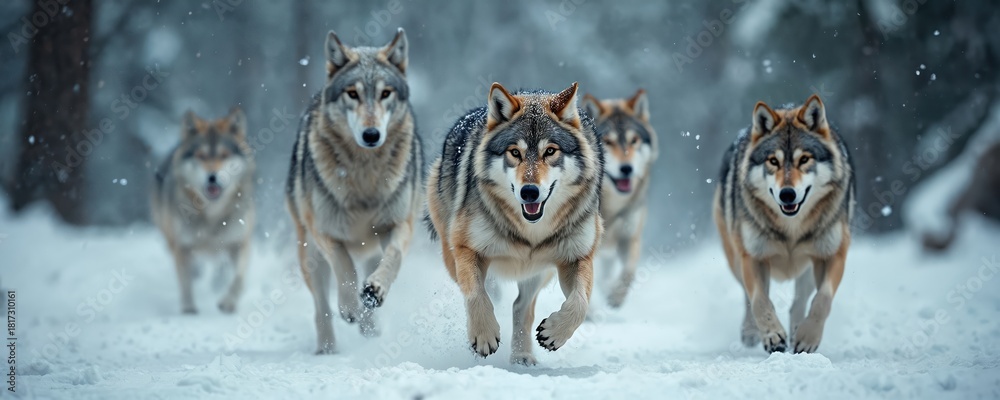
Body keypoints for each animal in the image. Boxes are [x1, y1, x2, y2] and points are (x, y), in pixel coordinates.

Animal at [152, 108, 255, 314]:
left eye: (224, 155)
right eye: (201, 156)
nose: (212, 177)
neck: (212, 214)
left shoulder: (240, 242)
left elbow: (239, 279)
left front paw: (228, 303)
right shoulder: (182, 246)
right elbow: (185, 282)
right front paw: (188, 309)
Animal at [286, 28, 422, 354]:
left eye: (385, 93)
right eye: (353, 93)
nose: (371, 135)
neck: (364, 174)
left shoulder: (399, 224)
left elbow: (393, 256)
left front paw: (374, 290)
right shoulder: (324, 230)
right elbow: (344, 265)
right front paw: (348, 307)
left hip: (370, 248)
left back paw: (369, 325)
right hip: (309, 255)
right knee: (321, 305)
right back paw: (327, 348)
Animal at [426, 81, 604, 365]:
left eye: (550, 151)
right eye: (515, 153)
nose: (529, 192)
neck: (531, 231)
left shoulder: (578, 257)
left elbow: (581, 303)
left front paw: (554, 334)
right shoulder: (466, 249)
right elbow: (476, 294)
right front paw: (484, 336)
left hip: (538, 270)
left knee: (520, 306)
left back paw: (522, 355)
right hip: (451, 254)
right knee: (481, 291)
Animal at [582, 89, 658, 308]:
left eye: (634, 140)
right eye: (608, 141)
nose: (627, 169)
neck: (612, 206)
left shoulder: (629, 237)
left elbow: (628, 273)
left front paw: (616, 296)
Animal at [713, 94, 855, 353]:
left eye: (804, 159)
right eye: (773, 161)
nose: (787, 194)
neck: (792, 229)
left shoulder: (832, 255)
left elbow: (822, 300)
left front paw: (807, 337)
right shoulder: (753, 257)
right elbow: (759, 300)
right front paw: (772, 336)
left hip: (807, 266)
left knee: (800, 301)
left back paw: (797, 331)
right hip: (735, 260)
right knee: (749, 296)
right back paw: (751, 333)